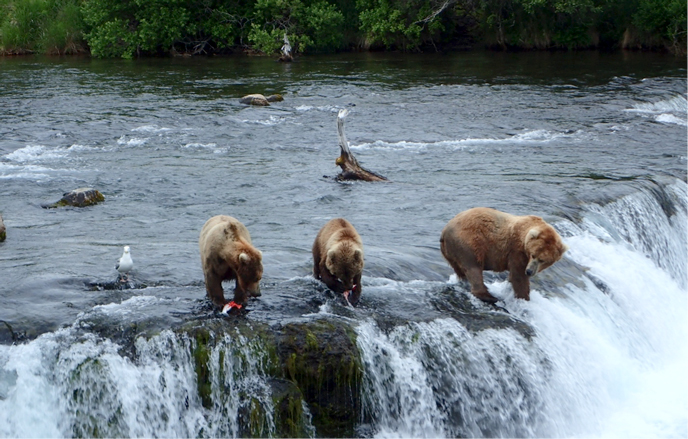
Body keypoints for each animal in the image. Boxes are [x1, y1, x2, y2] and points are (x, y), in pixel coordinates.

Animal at [440, 208, 568, 304]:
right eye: (533, 255)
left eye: (543, 260)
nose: (530, 271)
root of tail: (444, 231)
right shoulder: (516, 251)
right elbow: (519, 276)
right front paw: (524, 297)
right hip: (469, 242)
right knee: (474, 268)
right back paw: (489, 296)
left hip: (451, 252)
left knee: (461, 270)